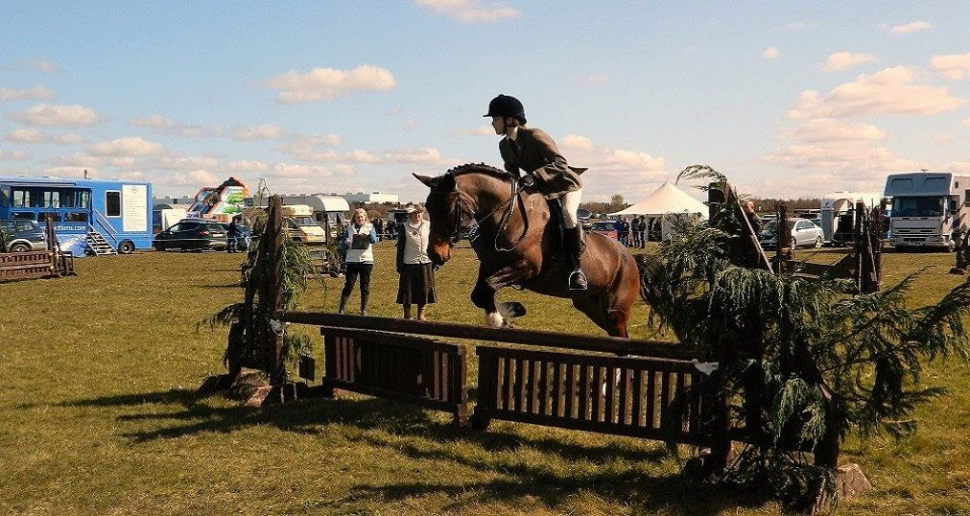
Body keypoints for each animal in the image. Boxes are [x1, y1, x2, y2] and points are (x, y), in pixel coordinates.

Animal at [412, 163, 640, 336]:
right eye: (428, 208)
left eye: (448, 210)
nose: (435, 254)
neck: (506, 217)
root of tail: (629, 258)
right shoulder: (489, 266)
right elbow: (480, 293)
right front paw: (508, 314)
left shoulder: (527, 267)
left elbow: (487, 288)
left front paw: (505, 316)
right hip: (589, 304)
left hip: (615, 310)